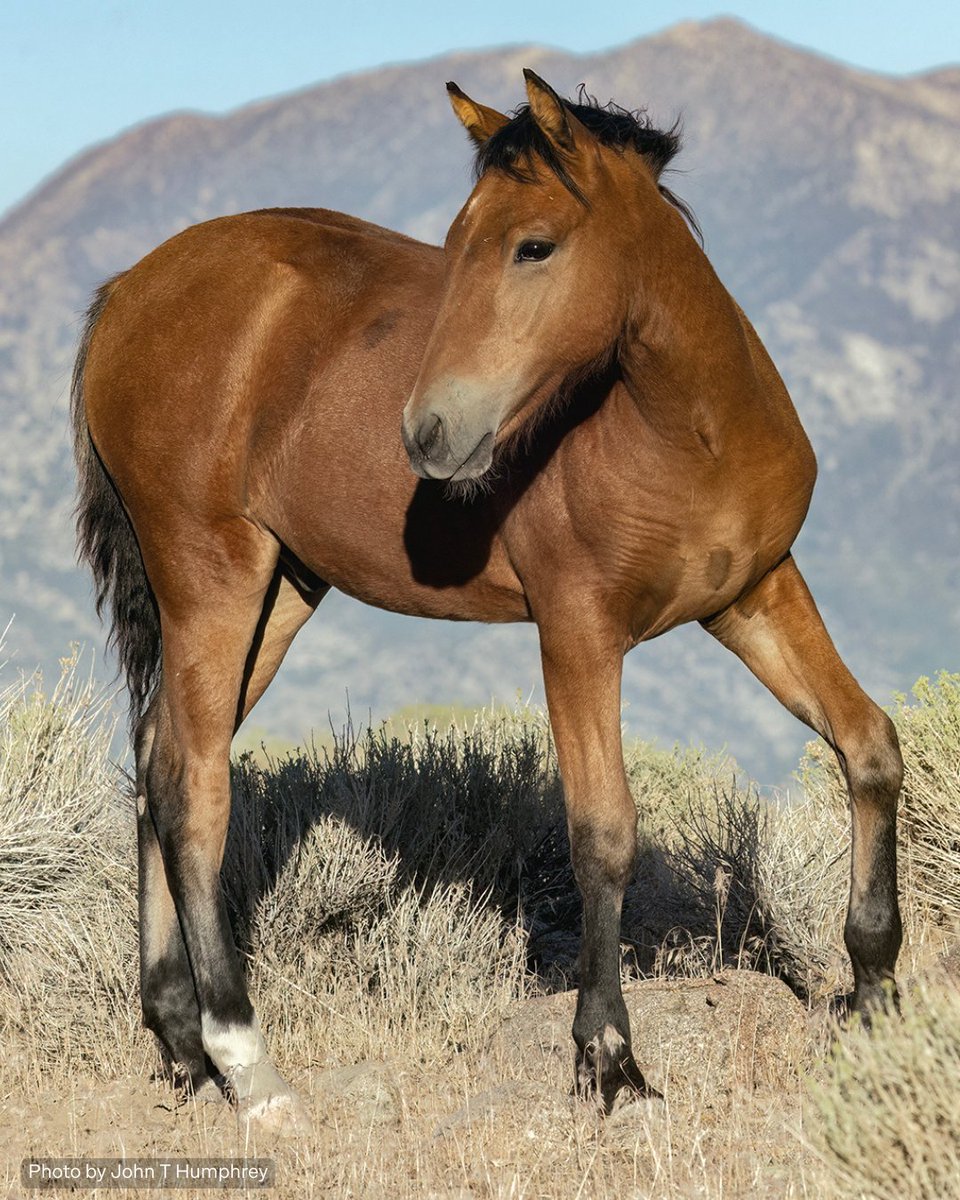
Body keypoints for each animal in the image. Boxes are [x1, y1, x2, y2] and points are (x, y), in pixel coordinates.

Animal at [71, 70, 902, 1132]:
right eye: (459, 240)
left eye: (532, 245)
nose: (427, 432)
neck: (685, 430)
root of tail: (127, 292)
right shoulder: (578, 632)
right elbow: (603, 831)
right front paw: (609, 1059)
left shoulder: (756, 594)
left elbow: (869, 747)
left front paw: (876, 995)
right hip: (210, 578)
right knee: (193, 786)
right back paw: (246, 1060)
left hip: (281, 591)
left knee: (157, 754)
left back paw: (178, 1042)